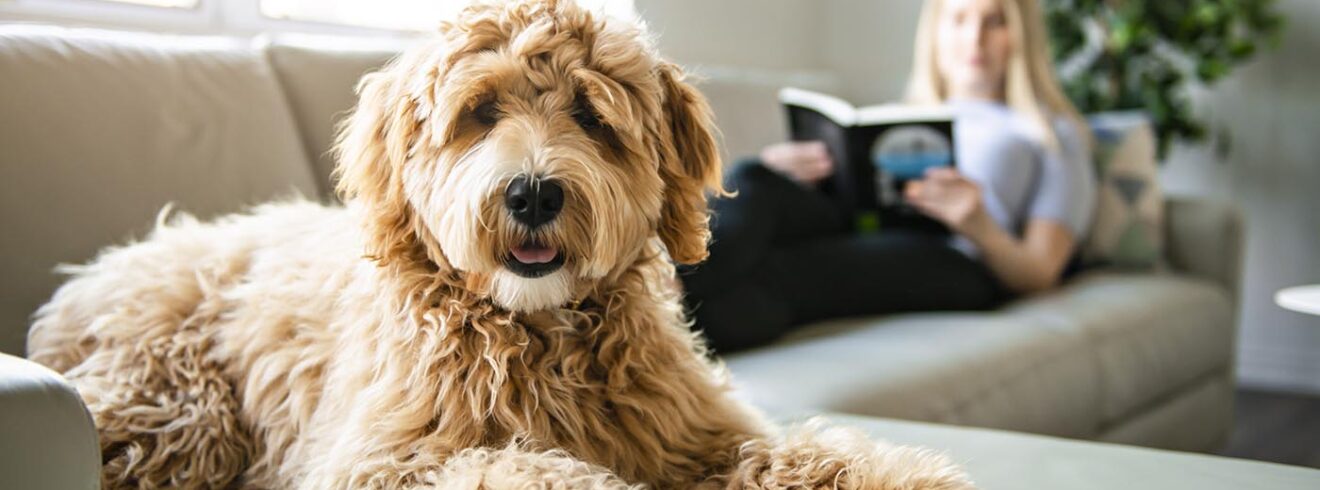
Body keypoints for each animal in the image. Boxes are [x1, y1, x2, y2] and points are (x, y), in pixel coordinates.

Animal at [25, 1, 976, 488]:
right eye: (480, 113)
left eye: (592, 116)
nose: (532, 192)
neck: (538, 333)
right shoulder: (383, 460)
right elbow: (517, 469)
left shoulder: (696, 431)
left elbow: (802, 454)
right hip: (176, 409)